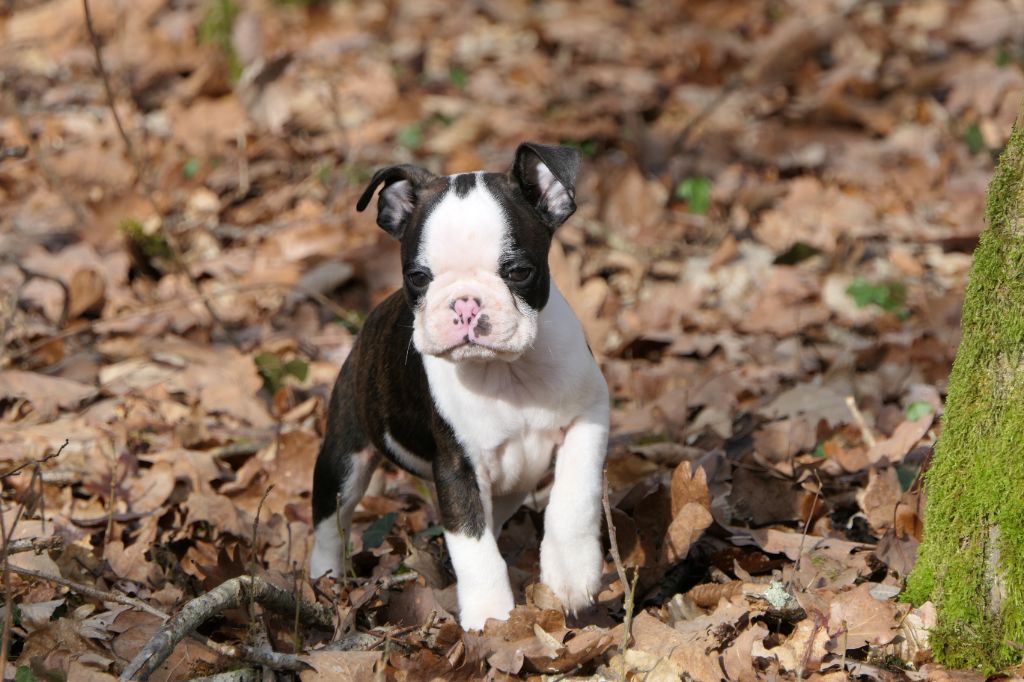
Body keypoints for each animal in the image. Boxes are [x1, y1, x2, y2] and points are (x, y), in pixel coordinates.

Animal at [309, 142, 606, 626]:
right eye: (417, 278)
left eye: (519, 272)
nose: (465, 304)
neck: (506, 372)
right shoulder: (456, 467)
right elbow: (473, 545)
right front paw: (491, 616)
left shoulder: (588, 417)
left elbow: (575, 496)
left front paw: (570, 574)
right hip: (344, 453)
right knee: (331, 520)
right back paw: (325, 580)